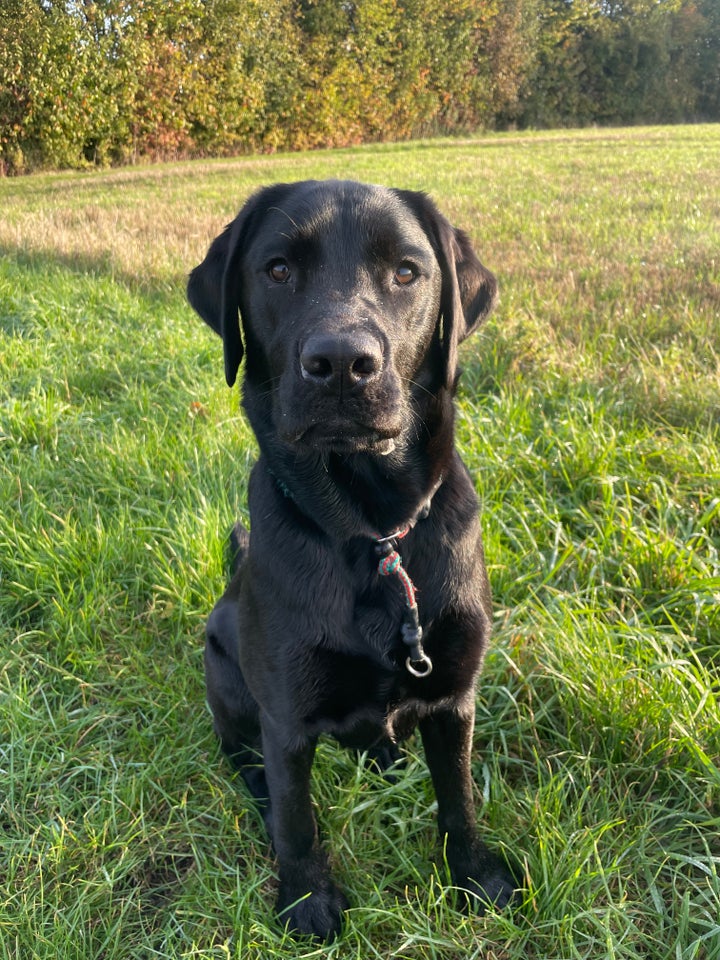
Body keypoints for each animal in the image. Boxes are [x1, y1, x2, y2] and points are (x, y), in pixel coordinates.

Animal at [188, 180, 516, 936]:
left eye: (407, 272)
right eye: (277, 269)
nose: (341, 362)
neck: (373, 534)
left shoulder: (455, 695)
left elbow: (458, 798)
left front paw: (474, 873)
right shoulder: (285, 716)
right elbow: (297, 820)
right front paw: (307, 899)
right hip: (222, 665)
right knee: (242, 757)